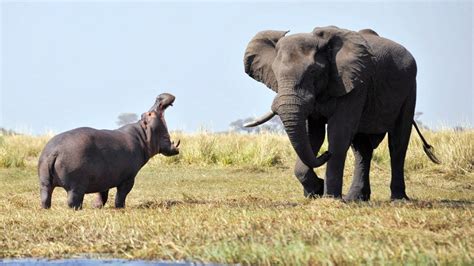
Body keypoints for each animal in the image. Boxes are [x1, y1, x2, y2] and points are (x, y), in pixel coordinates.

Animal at [37, 92, 180, 209]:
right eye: (149, 114)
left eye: (144, 114)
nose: (159, 97)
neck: (143, 135)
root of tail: (54, 151)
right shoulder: (128, 178)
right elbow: (121, 195)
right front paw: (120, 207)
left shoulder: (104, 178)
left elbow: (102, 194)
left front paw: (96, 206)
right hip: (75, 186)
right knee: (73, 201)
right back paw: (78, 209)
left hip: (44, 182)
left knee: (45, 197)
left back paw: (46, 208)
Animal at [243, 26, 438, 200]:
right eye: (275, 73)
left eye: (313, 71)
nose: (325, 154)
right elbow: (313, 136)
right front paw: (316, 191)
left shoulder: (355, 83)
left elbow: (338, 133)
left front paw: (329, 197)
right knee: (362, 148)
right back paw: (355, 198)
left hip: (409, 88)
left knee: (397, 142)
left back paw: (398, 199)